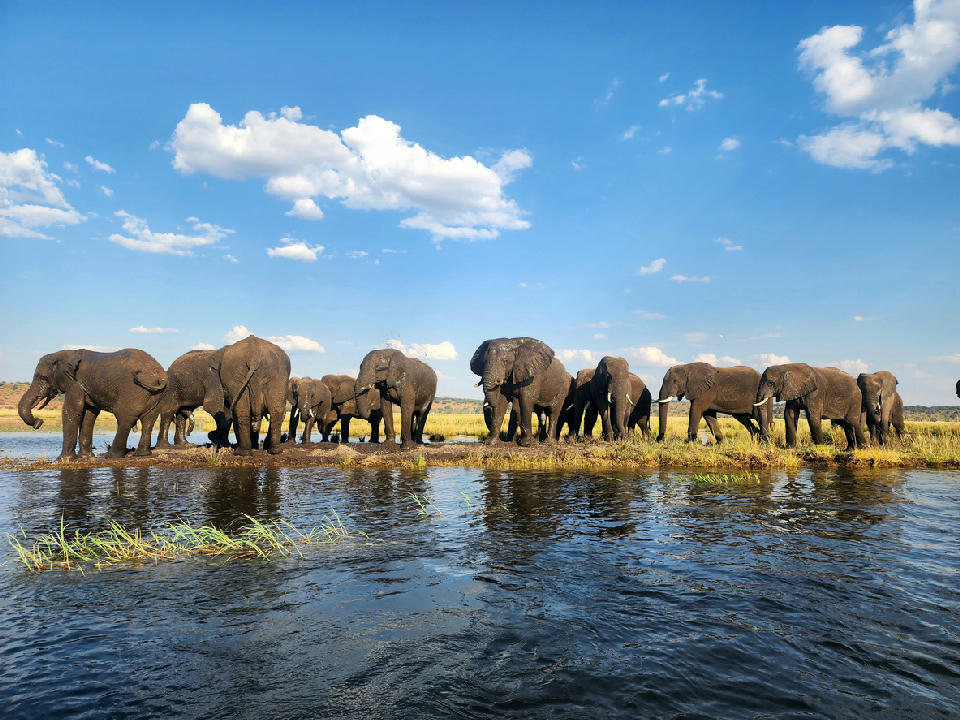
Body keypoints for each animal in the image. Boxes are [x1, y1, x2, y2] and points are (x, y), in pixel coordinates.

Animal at [18, 348, 167, 459]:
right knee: (149, 419)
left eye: (42, 378)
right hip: (155, 395)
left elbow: (71, 410)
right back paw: (141, 454)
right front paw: (86, 457)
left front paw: (64, 459)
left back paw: (111, 456)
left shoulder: (74, 384)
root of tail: (158, 376)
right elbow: (89, 415)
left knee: (125, 418)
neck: (65, 353)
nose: (39, 422)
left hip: (133, 389)